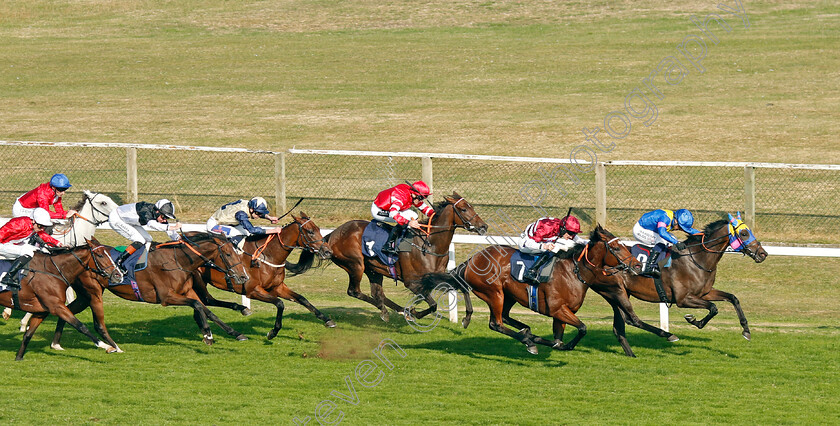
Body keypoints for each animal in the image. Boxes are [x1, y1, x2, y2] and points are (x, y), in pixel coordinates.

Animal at [50, 231, 249, 352]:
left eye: (237, 252)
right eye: (229, 254)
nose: (243, 276)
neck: (177, 260)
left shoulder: (187, 291)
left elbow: (205, 309)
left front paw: (235, 333)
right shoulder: (166, 297)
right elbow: (198, 306)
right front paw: (208, 334)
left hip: (84, 296)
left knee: (67, 311)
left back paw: (56, 343)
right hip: (93, 293)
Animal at [191, 213, 334, 340]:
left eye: (319, 229)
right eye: (310, 231)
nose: (328, 251)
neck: (267, 255)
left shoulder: (277, 287)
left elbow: (302, 299)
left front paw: (327, 320)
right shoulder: (252, 290)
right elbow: (280, 303)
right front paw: (273, 332)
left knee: (206, 300)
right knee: (205, 300)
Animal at [288, 192, 486, 322]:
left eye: (471, 206)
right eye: (463, 209)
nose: (483, 226)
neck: (429, 244)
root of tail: (331, 235)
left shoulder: (434, 276)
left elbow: (456, 285)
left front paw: (466, 317)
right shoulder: (412, 282)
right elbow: (432, 304)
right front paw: (415, 312)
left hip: (373, 269)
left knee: (378, 294)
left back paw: (396, 311)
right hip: (355, 265)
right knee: (355, 291)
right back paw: (388, 311)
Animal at [420, 226, 644, 356]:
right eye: (616, 248)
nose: (637, 265)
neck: (573, 272)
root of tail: (472, 260)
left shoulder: (561, 314)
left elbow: (559, 338)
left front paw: (551, 342)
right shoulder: (557, 309)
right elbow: (582, 328)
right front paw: (557, 344)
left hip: (508, 295)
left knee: (506, 318)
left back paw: (527, 334)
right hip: (494, 293)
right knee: (496, 323)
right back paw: (528, 339)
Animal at [620, 215, 772, 342]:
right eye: (744, 233)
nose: (763, 254)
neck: (697, 259)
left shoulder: (705, 293)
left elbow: (732, 298)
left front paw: (746, 330)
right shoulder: (682, 299)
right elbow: (713, 307)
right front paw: (693, 320)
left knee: (629, 319)